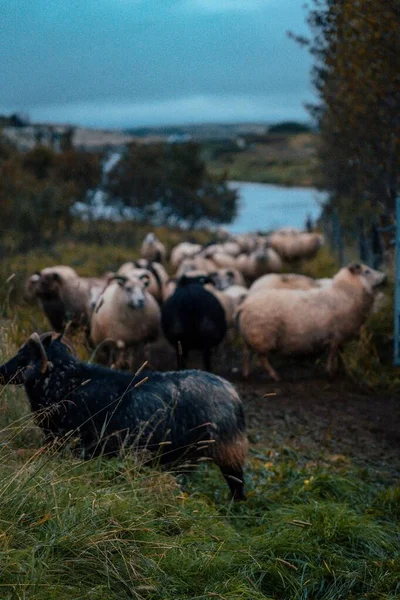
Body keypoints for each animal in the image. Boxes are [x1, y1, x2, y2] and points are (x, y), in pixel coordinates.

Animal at [0, 332, 247, 502]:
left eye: (22, 355)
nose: (0, 372)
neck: (69, 382)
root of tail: (233, 393)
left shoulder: (72, 444)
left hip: (227, 450)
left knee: (237, 483)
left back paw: (234, 507)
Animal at [238, 262, 388, 380]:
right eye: (367, 271)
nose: (385, 277)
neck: (345, 293)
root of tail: (244, 305)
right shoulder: (336, 336)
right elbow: (333, 355)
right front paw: (330, 373)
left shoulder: (340, 337)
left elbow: (340, 354)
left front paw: (342, 371)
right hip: (262, 336)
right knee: (262, 359)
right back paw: (275, 376)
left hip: (249, 336)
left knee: (246, 353)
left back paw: (246, 374)